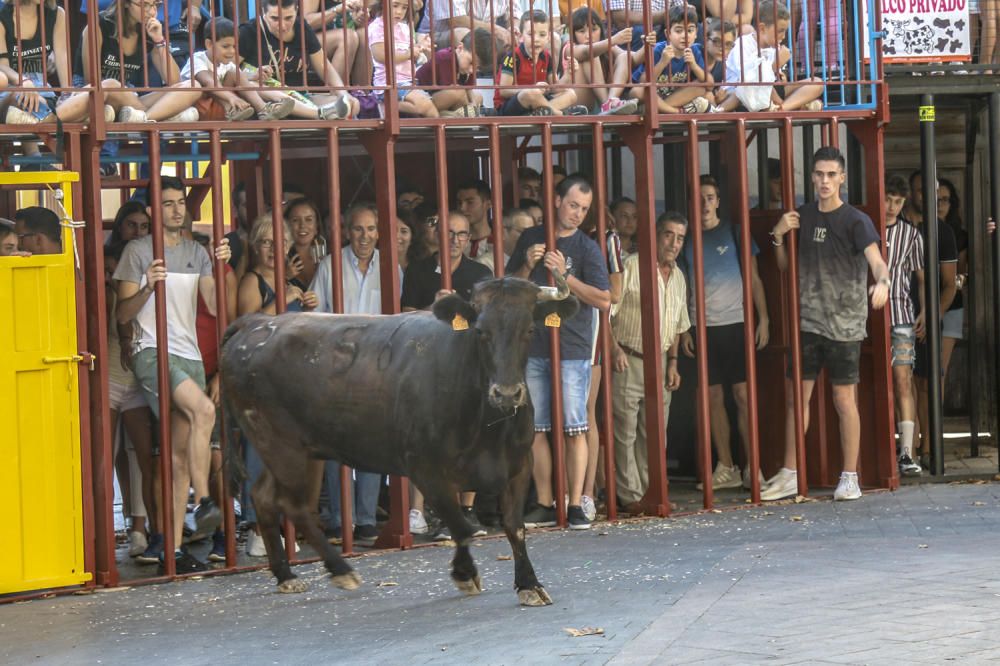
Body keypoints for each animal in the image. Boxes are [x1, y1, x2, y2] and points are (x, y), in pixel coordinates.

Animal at [219, 272, 580, 604]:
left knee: (265, 496)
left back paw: (286, 574)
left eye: (529, 330)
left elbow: (514, 527)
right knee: (293, 505)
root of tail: (256, 323)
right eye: (481, 332)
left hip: (295, 449)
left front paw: (529, 584)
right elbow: (460, 525)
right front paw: (465, 574)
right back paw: (340, 569)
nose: (506, 393)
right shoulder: (424, 469)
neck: (486, 423)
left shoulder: (519, 464)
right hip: (282, 446)